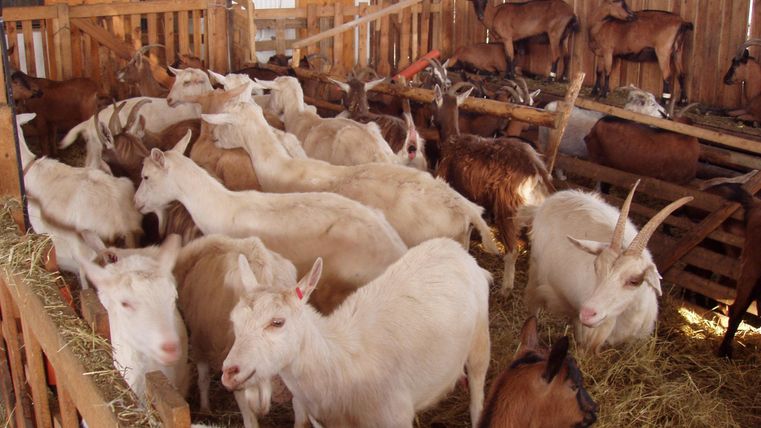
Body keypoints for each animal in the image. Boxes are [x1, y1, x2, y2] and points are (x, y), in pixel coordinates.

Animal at [222, 238, 492, 427]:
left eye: (277, 322)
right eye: (234, 322)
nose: (229, 372)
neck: (336, 365)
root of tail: (455, 248)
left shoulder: (396, 417)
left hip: (480, 340)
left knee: (478, 392)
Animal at [431, 84, 553, 293]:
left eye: (434, 101)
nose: (431, 119)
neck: (453, 140)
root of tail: (536, 174)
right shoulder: (472, 197)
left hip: (507, 210)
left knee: (512, 250)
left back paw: (506, 289)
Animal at [522, 181, 693, 351]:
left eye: (634, 281)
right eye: (596, 267)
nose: (587, 313)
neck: (627, 319)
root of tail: (558, 196)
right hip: (536, 271)